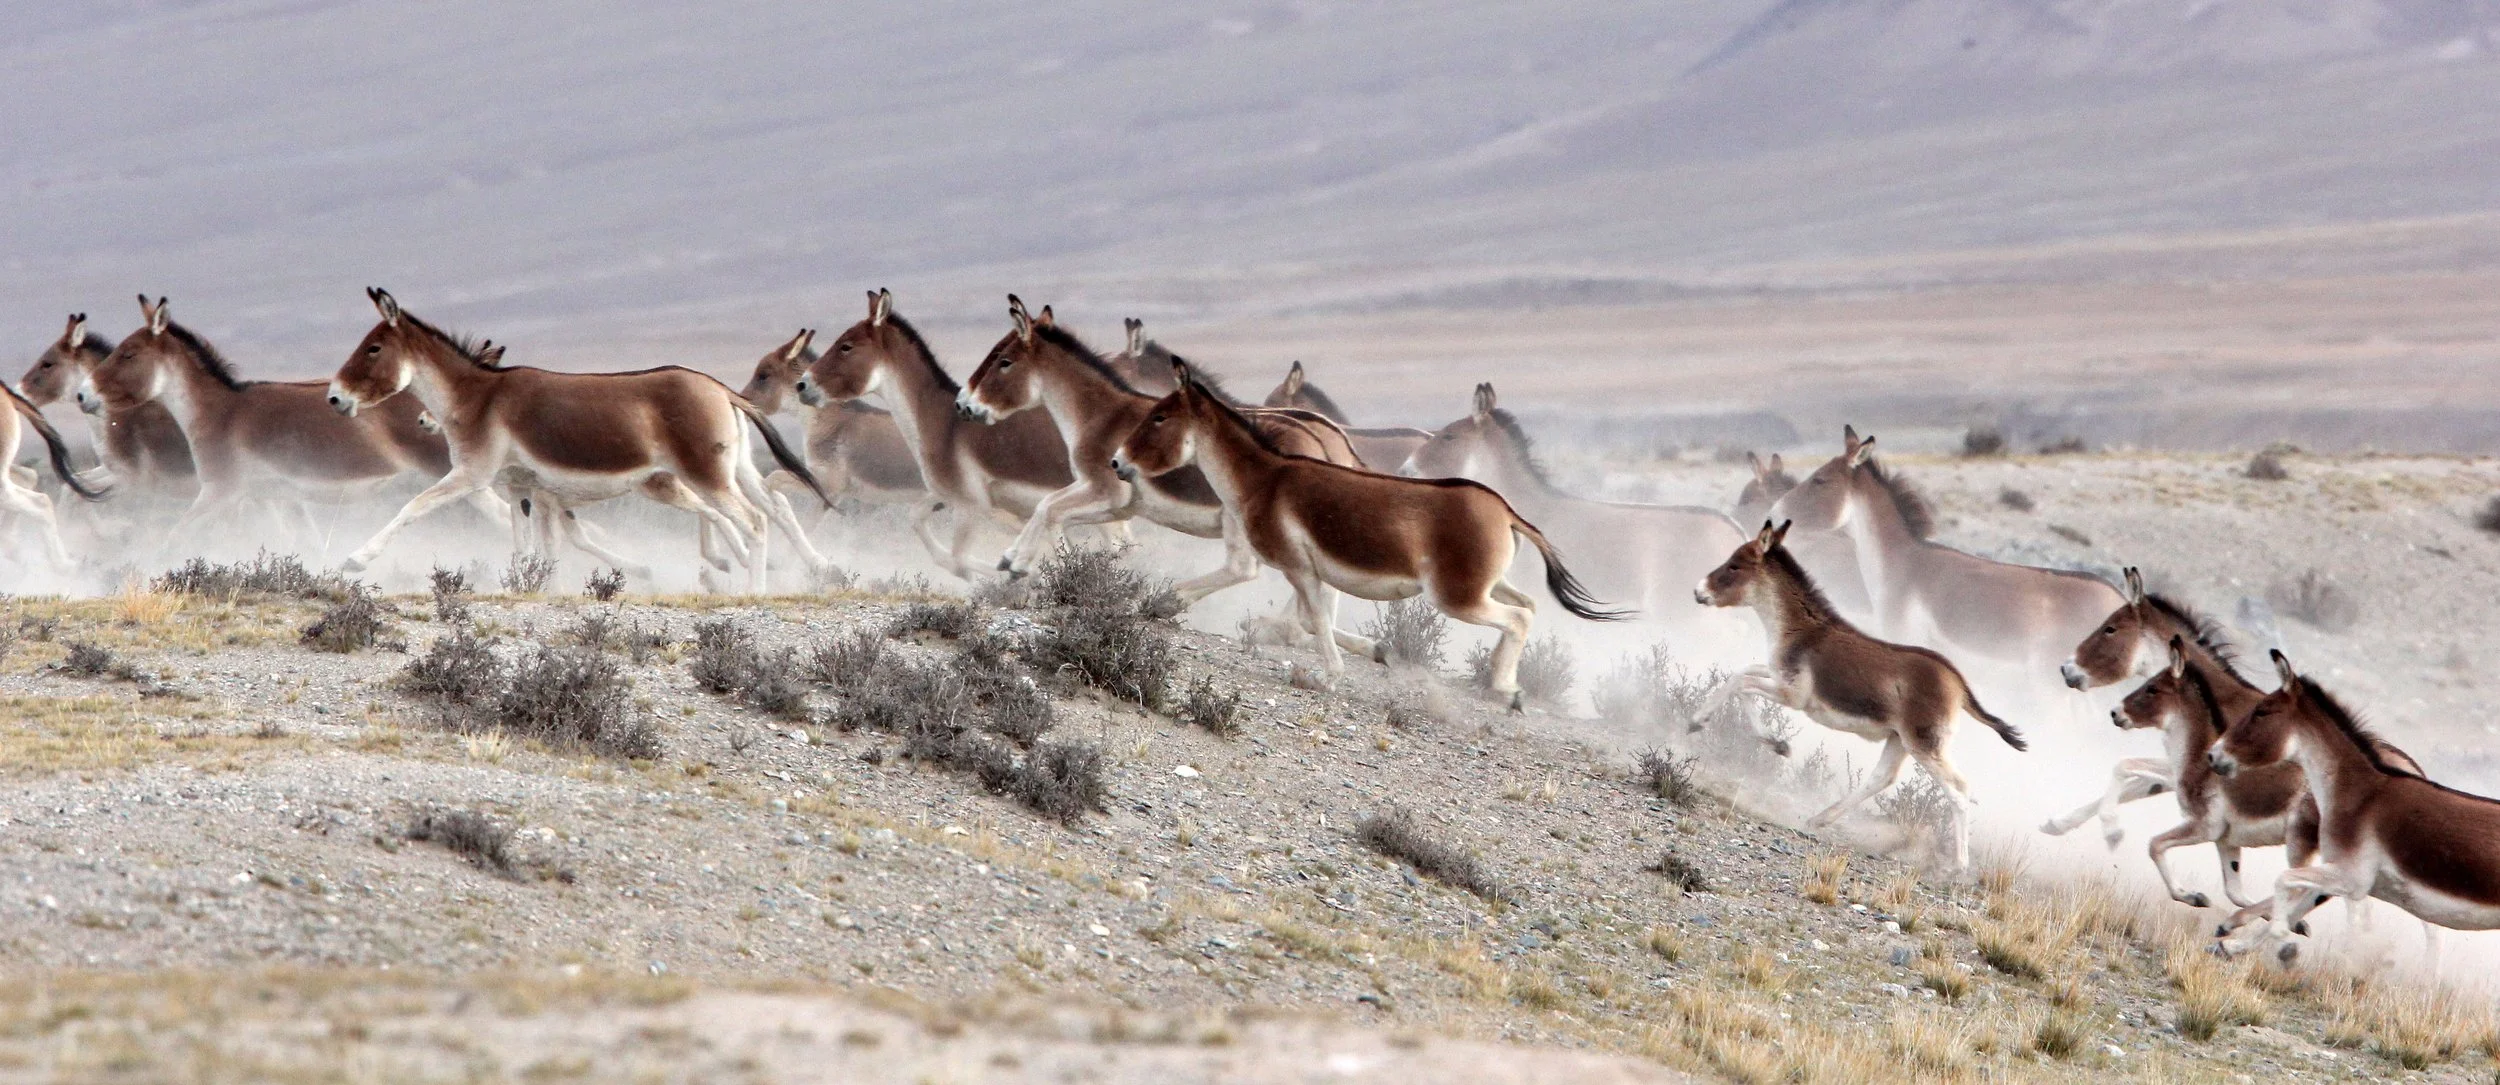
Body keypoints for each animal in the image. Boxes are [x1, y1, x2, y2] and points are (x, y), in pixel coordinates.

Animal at [81, 295, 503, 558]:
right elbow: (307, 544)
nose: (83, 396)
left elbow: (174, 538)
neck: (218, 411)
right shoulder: (272, 497)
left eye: (128, 353)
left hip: (452, 471)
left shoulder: (220, 490)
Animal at [325, 288, 826, 591]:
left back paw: (755, 589)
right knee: (768, 508)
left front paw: (356, 559)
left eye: (373, 348)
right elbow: (529, 545)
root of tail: (720, 388)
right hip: (727, 471)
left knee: (753, 521)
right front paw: (531, 588)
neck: (479, 397)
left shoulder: (472, 474)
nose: (333, 398)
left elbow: (413, 506)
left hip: (704, 475)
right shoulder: (522, 486)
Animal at [792, 289, 1084, 580]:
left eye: (846, 346)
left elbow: (961, 555)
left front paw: (1020, 572)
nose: (802, 384)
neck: (943, 421)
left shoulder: (971, 505)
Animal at [959, 296, 1363, 607]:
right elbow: (1052, 510)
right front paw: (1015, 559)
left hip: (1241, 519)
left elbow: (1049, 509)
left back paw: (1169, 600)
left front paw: (1024, 565)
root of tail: (1327, 442)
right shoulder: (1116, 502)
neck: (1099, 413)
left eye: (1004, 361)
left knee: (1242, 569)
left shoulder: (1105, 490)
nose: (963, 404)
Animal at [1693, 521, 2026, 869]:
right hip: (1899, 740)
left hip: (1925, 745)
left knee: (1958, 788)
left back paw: (1958, 866)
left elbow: (1741, 684)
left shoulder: (1791, 695)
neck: (1801, 629)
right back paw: (1820, 818)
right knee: (1882, 779)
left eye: (1735, 564)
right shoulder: (1778, 676)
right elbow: (1741, 673)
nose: (1698, 592)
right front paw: (1746, 734)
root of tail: (1958, 682)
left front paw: (1724, 729)